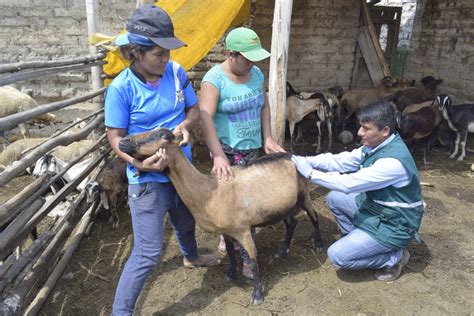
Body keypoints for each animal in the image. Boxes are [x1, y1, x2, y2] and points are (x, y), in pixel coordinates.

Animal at [120, 127, 324, 304]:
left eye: (163, 135)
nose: (124, 141)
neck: (208, 191)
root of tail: (292, 155)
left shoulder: (243, 230)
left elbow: (253, 261)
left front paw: (257, 295)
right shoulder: (226, 231)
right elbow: (231, 254)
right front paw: (230, 275)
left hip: (303, 193)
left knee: (314, 216)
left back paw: (319, 245)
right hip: (281, 206)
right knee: (292, 222)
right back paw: (282, 251)